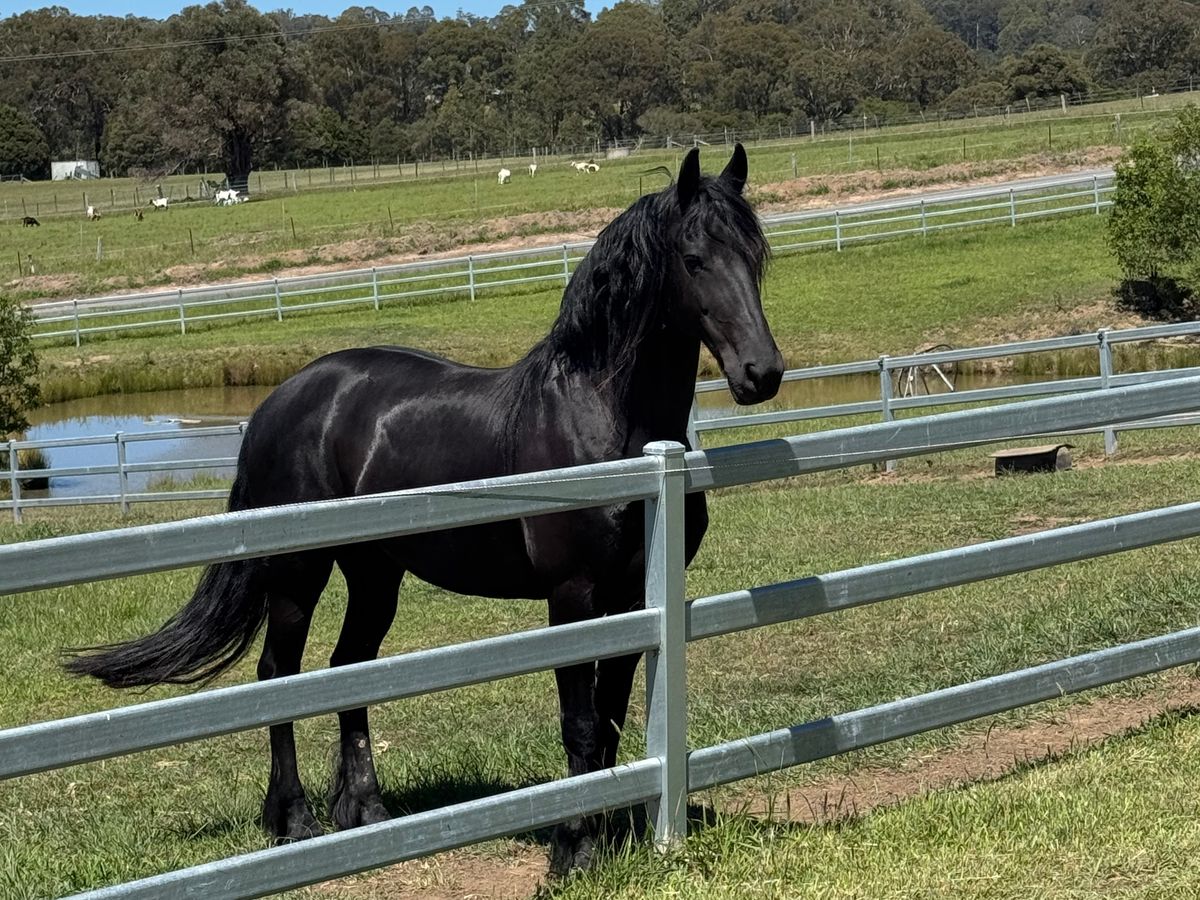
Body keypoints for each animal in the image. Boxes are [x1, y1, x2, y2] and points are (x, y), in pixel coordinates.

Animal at [65, 145, 783, 874]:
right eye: (694, 258)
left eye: (756, 256)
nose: (762, 373)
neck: (602, 422)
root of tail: (280, 402)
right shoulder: (573, 595)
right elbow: (581, 724)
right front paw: (571, 851)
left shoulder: (633, 595)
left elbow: (608, 719)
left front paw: (609, 840)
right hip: (298, 574)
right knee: (279, 674)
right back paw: (293, 820)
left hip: (375, 575)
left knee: (347, 669)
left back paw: (366, 812)